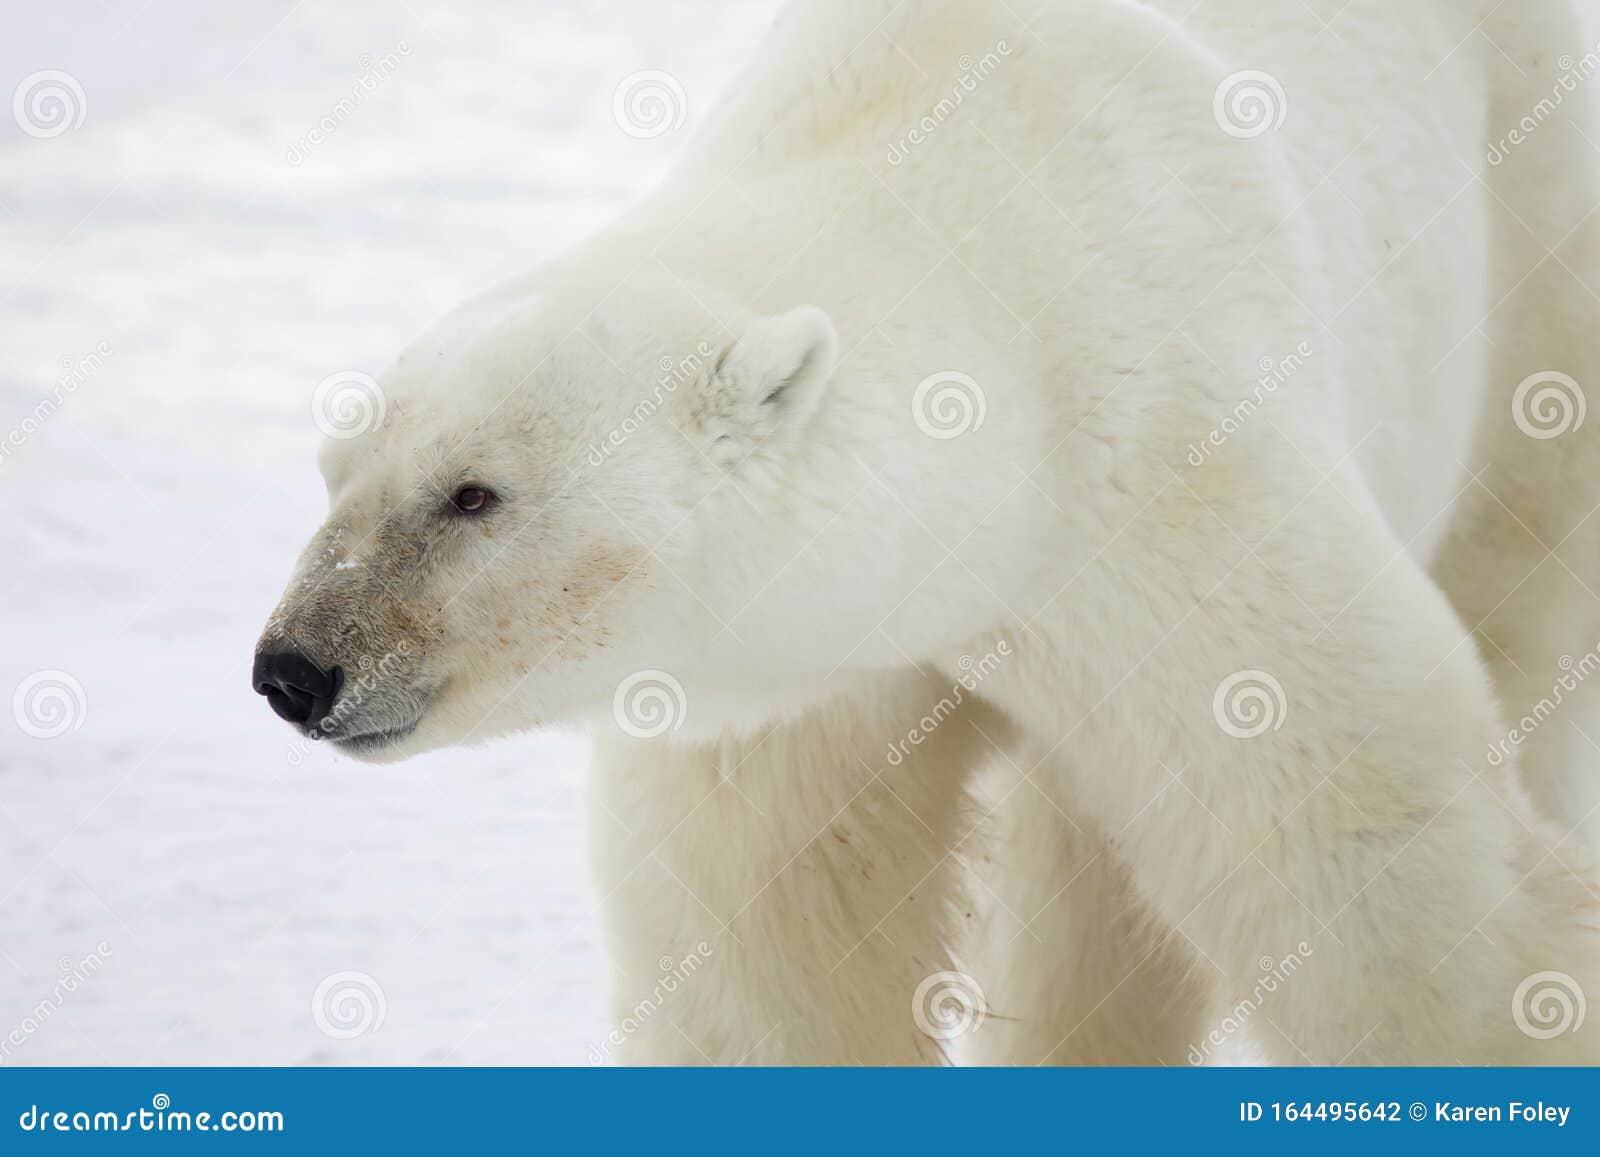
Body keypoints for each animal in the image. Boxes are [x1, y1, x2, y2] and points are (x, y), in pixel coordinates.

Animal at [256, 2, 1600, 1068]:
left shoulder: (1175, 485)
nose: (294, 668)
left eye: (472, 494)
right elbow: (771, 947)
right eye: (334, 471)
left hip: (1527, 264)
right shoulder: (797, 671)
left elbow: (1372, 858)